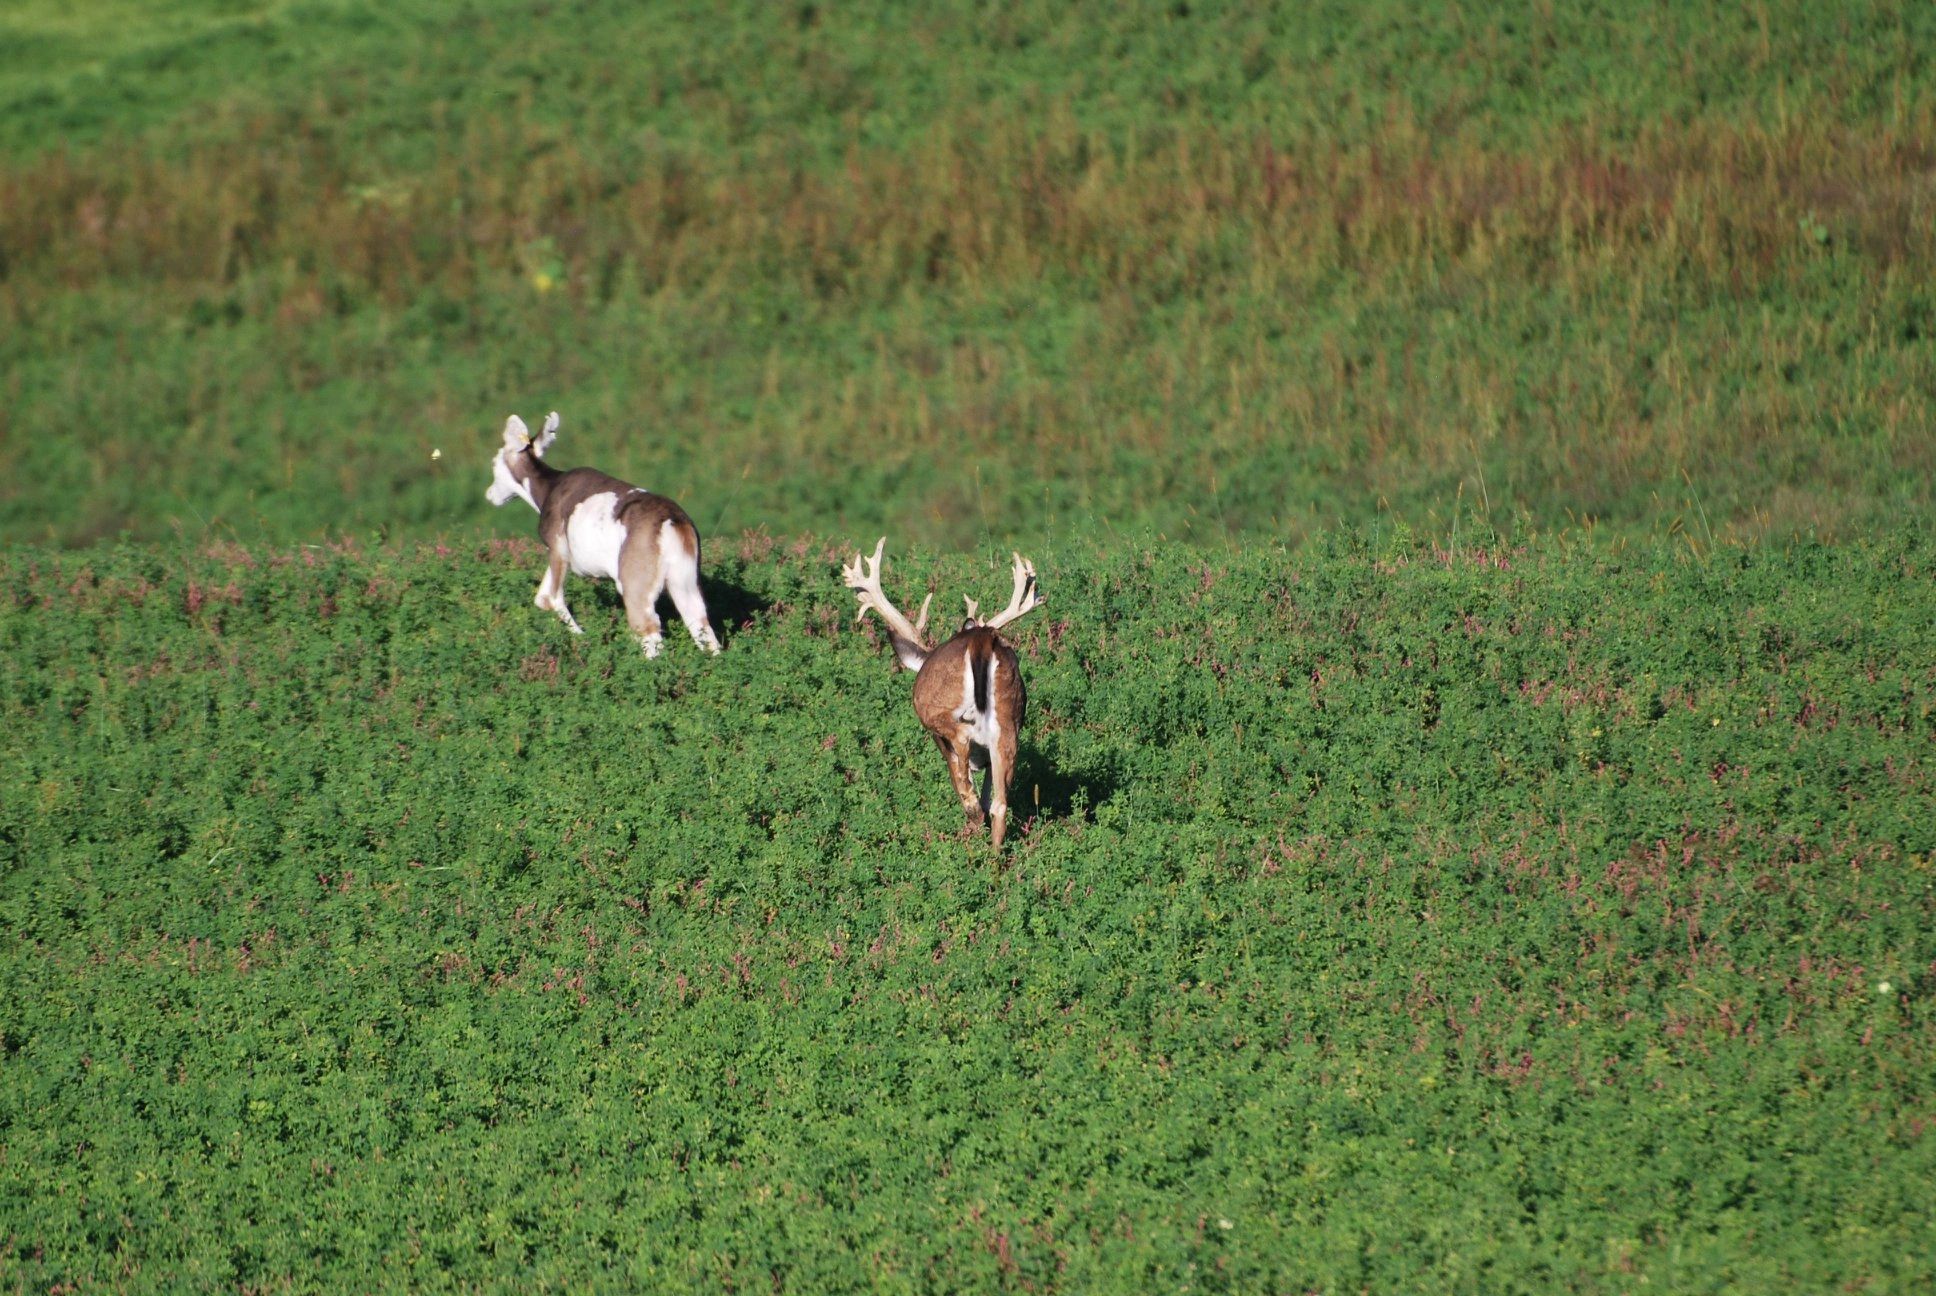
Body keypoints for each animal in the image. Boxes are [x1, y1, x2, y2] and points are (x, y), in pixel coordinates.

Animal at [485, 412, 722, 658]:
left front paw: (583, 638)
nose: (490, 494)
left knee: (648, 630)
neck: (551, 488)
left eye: (494, 462)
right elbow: (541, 598)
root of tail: (672, 520)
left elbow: (551, 598)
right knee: (702, 628)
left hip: (636, 591)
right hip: (685, 585)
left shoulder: (558, 551)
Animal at [843, 538, 1043, 849]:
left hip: (941, 714)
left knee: (962, 752)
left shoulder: (939, 740)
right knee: (999, 804)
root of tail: (982, 639)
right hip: (1008, 724)